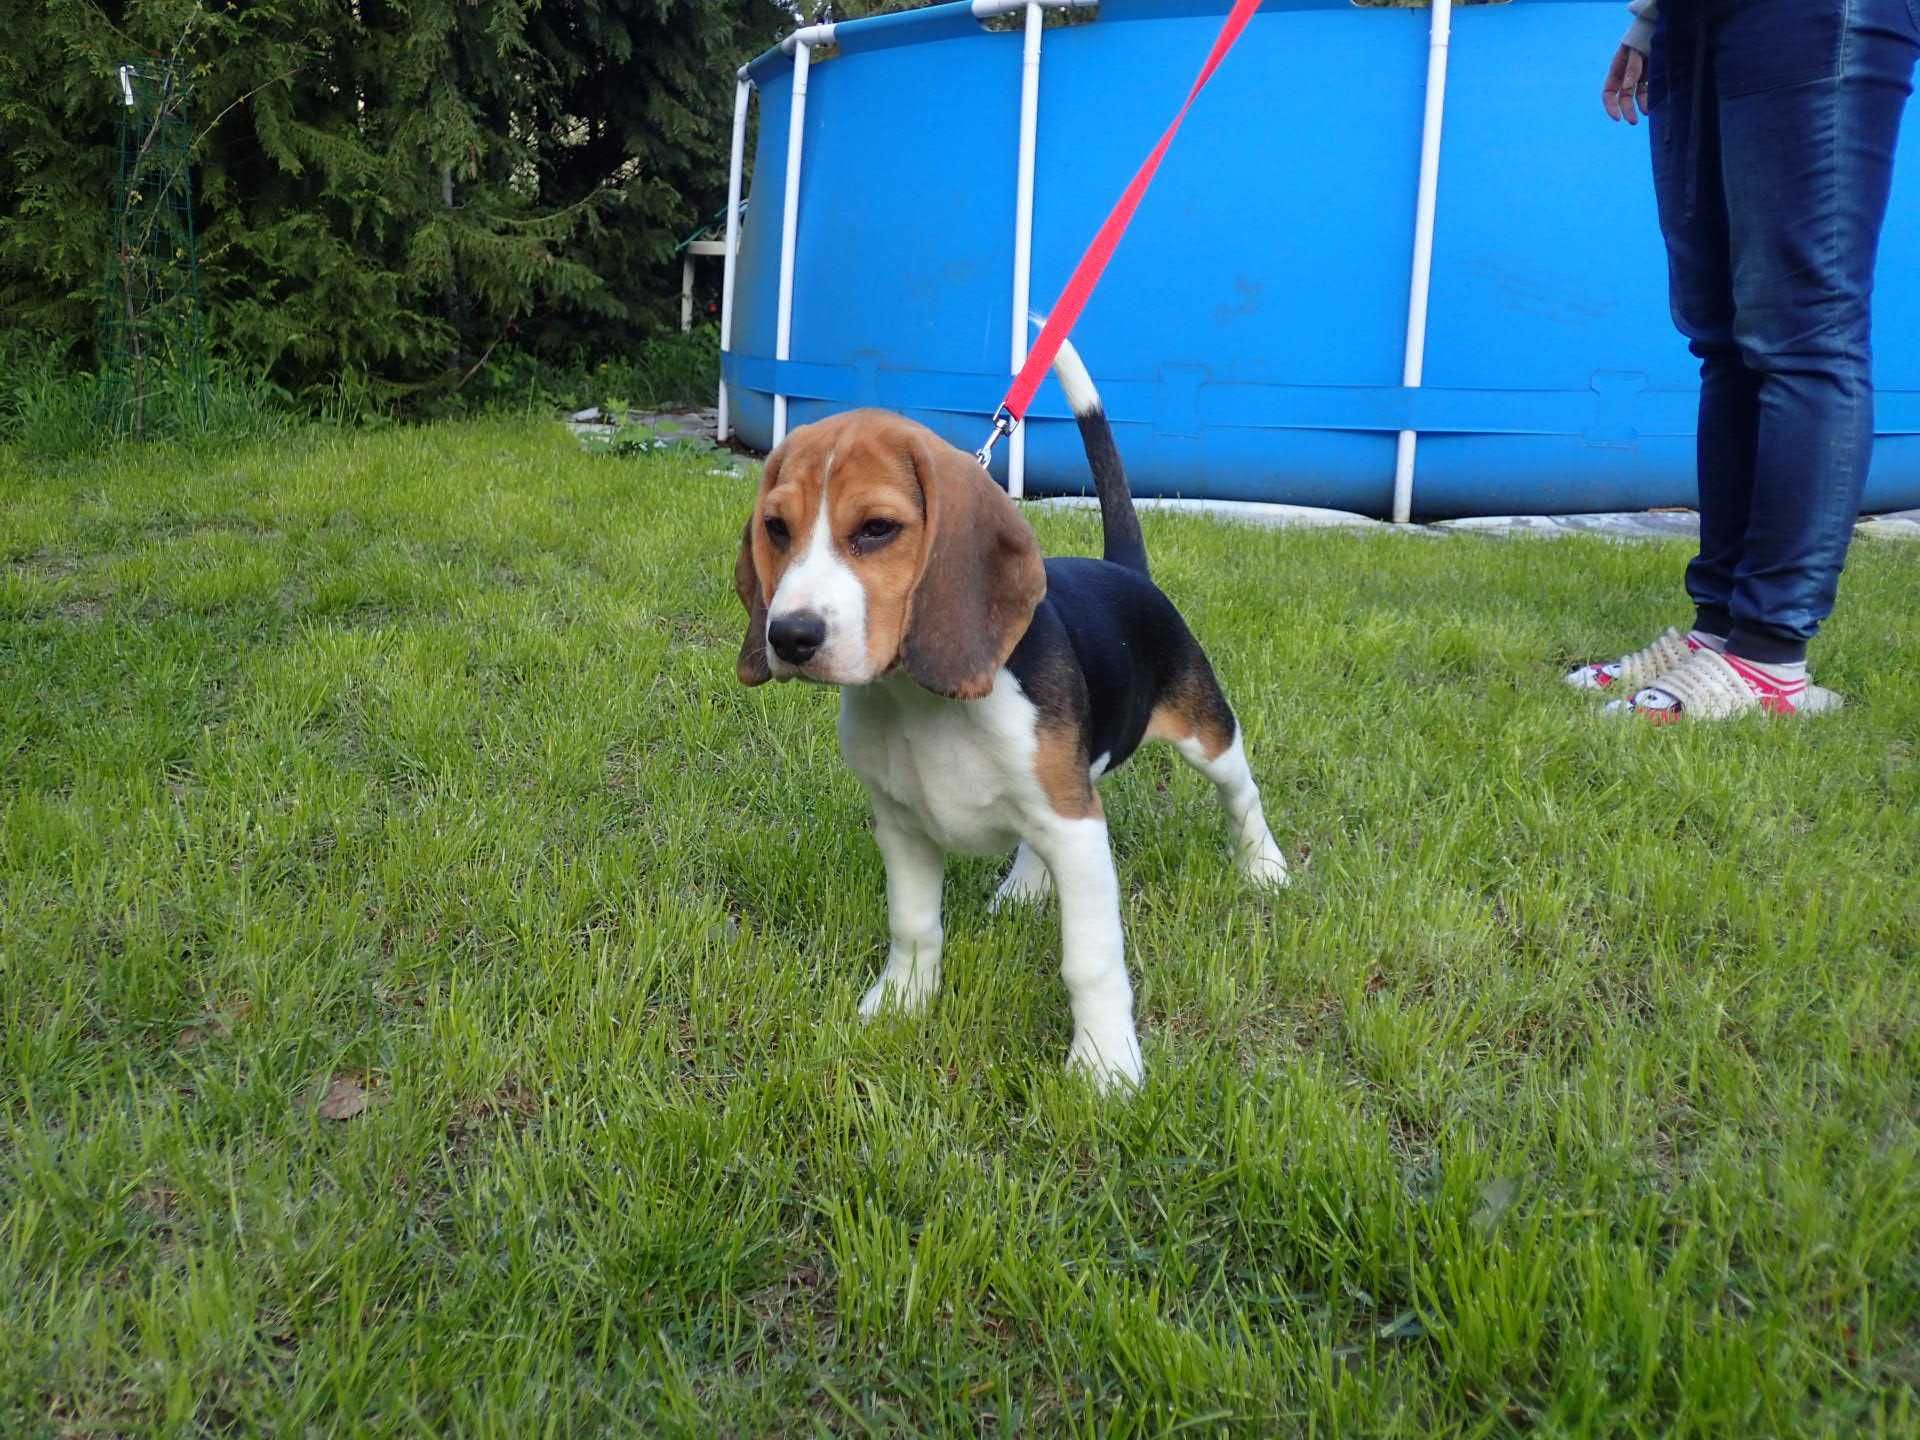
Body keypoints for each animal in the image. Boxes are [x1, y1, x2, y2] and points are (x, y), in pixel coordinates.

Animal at [733, 343, 1290, 1090]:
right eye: (776, 528)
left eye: (877, 529)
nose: (790, 636)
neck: (919, 699)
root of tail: (1127, 571)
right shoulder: (903, 827)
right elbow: (914, 925)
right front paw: (903, 1002)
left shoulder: (1079, 830)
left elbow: (1091, 961)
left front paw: (1105, 1066)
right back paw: (1025, 887)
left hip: (1203, 732)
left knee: (1240, 792)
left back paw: (1264, 866)